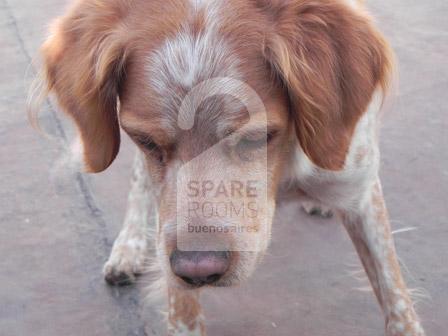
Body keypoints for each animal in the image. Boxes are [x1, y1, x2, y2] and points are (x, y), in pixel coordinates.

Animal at [33, 0, 426, 334]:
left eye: (258, 136)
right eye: (146, 141)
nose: (199, 269)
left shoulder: (361, 190)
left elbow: (395, 296)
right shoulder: (171, 239)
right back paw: (127, 247)